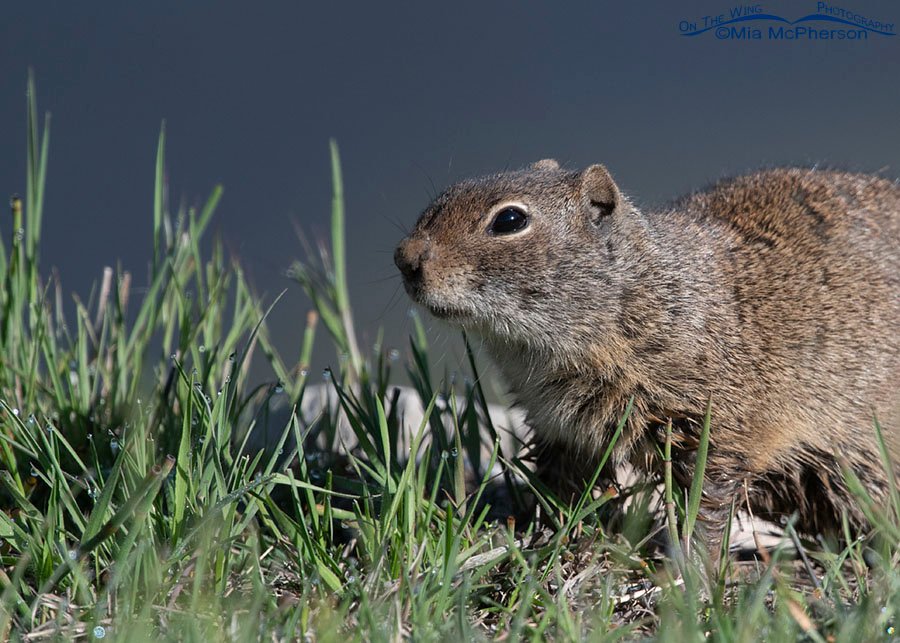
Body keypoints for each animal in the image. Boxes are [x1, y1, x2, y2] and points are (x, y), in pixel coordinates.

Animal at [394, 159, 900, 548]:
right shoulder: (559, 428)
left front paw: (691, 567)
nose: (404, 257)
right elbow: (560, 487)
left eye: (509, 220)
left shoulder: (716, 426)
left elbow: (707, 502)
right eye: (443, 197)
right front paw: (542, 535)